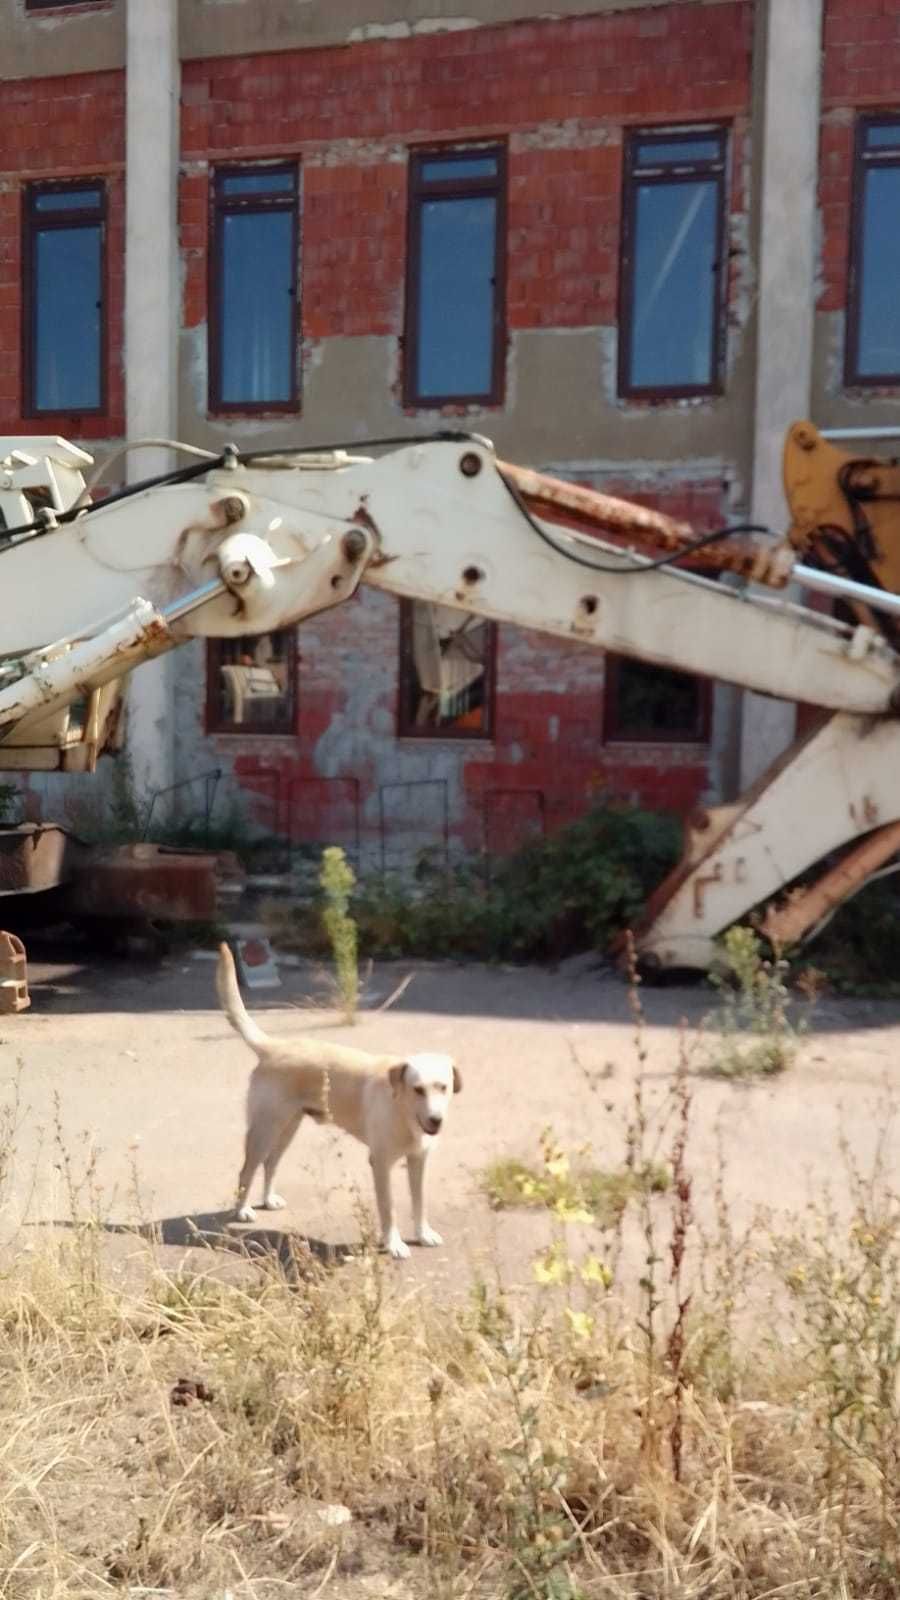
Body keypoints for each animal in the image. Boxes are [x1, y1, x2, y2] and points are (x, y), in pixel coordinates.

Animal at [214, 940, 458, 1254]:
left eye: (443, 1087)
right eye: (418, 1089)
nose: (436, 1120)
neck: (403, 1112)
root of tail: (273, 1046)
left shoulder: (418, 1162)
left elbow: (420, 1204)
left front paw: (423, 1234)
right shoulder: (381, 1165)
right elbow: (389, 1209)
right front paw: (393, 1244)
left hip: (287, 1128)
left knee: (270, 1163)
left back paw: (268, 1199)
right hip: (264, 1130)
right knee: (246, 1170)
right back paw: (242, 1210)